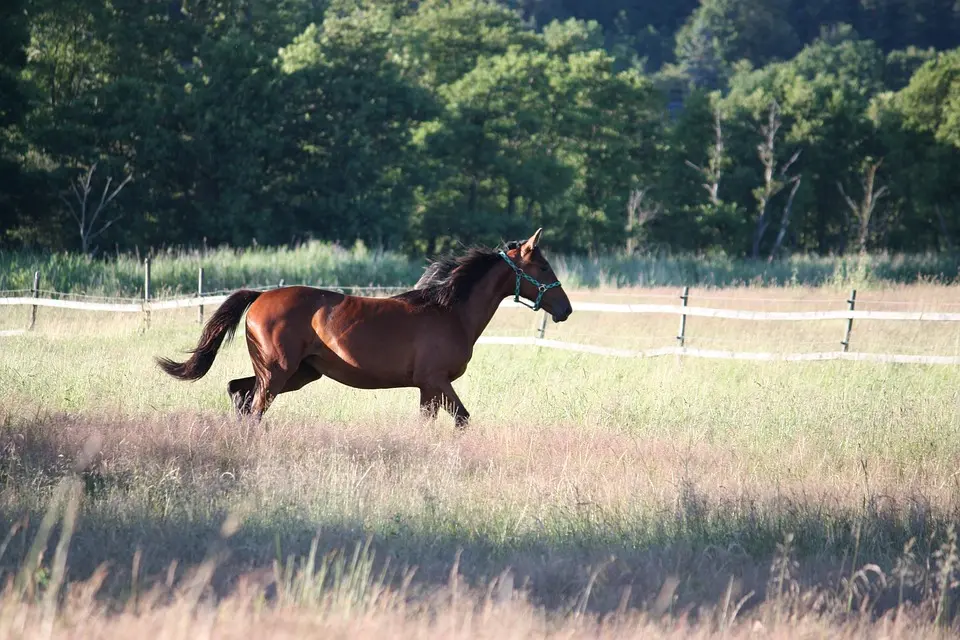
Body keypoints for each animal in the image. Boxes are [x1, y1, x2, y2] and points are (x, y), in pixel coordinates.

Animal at [155, 228, 572, 428]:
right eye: (543, 267)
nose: (565, 309)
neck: (449, 311)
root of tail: (259, 296)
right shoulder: (436, 382)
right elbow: (462, 419)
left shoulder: (427, 388)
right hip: (277, 372)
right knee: (254, 406)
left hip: (298, 373)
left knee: (238, 392)